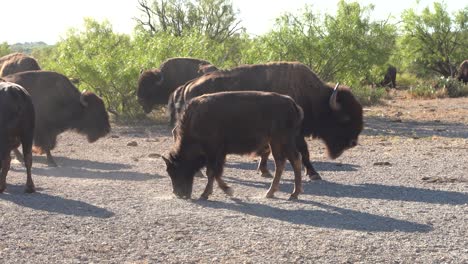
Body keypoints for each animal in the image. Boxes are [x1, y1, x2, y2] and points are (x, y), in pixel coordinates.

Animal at [163, 91, 306, 200]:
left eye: (175, 170)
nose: (178, 193)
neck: (195, 121)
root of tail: (292, 103)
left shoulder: (213, 152)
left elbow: (212, 172)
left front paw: (208, 194)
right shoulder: (219, 154)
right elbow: (216, 173)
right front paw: (226, 190)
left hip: (280, 141)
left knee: (289, 161)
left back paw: (289, 194)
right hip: (278, 143)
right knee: (285, 162)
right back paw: (279, 193)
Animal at [170, 62, 364, 182]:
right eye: (345, 118)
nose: (353, 142)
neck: (314, 98)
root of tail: (188, 85)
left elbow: (267, 151)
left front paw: (264, 171)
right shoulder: (295, 134)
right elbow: (304, 152)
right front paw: (314, 174)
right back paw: (199, 172)